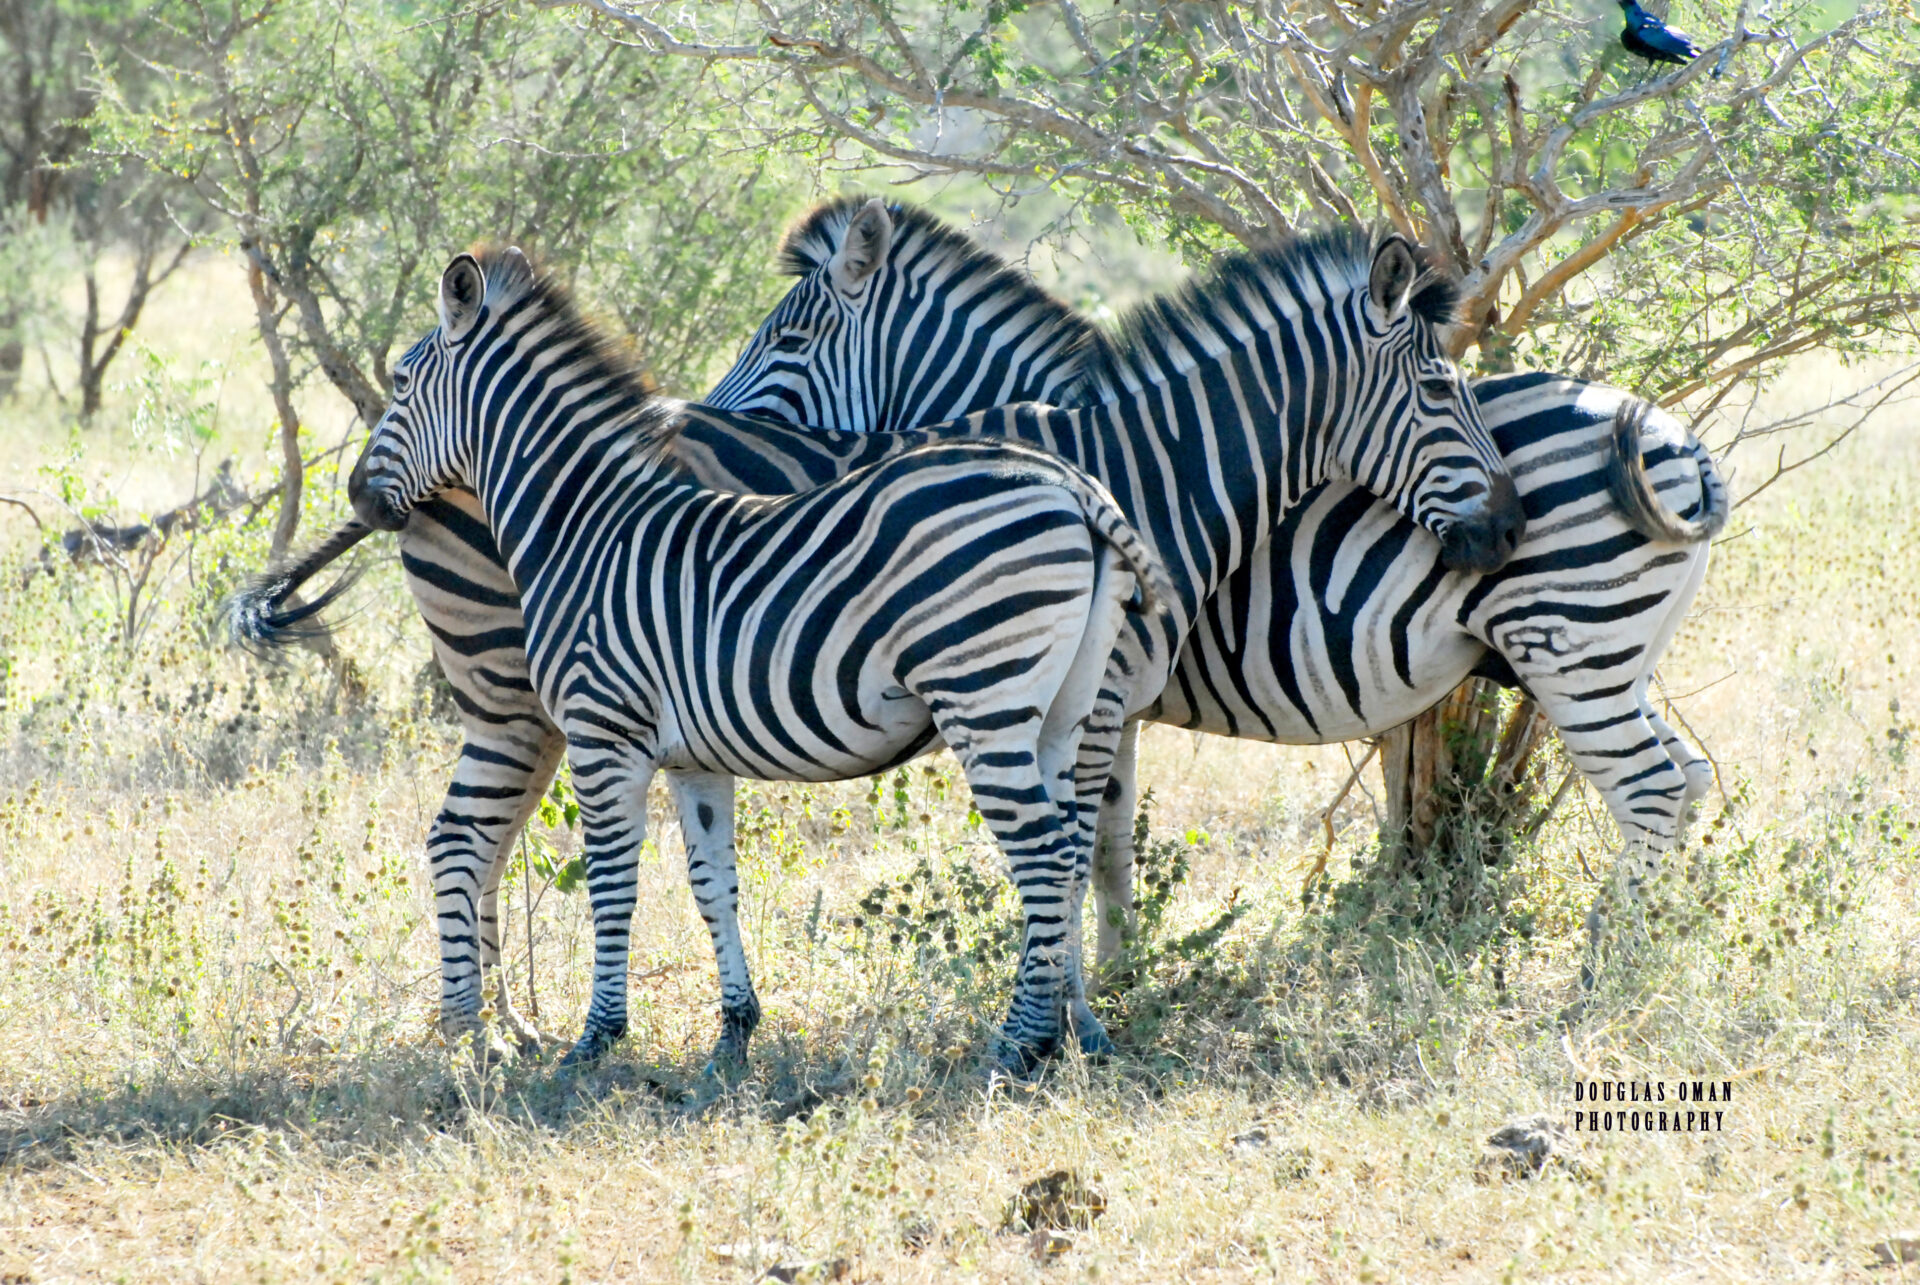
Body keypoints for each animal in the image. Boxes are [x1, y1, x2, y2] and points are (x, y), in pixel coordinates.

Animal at [247, 225, 1520, 1067]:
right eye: (1441, 390)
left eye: (399, 383)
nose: (1507, 527)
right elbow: (711, 876)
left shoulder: (622, 728)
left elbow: (627, 879)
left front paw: (608, 1043)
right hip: (521, 702)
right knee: (467, 839)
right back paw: (476, 1032)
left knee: (471, 839)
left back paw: (490, 1032)